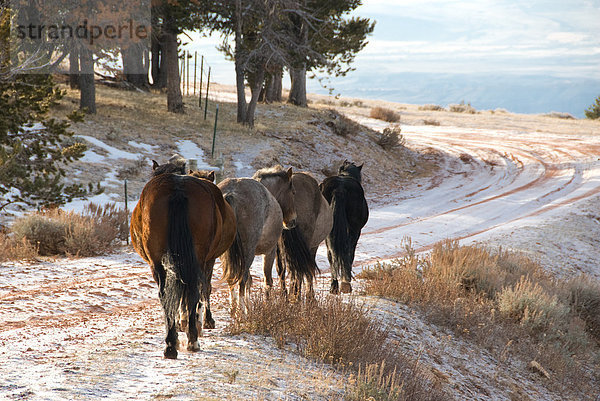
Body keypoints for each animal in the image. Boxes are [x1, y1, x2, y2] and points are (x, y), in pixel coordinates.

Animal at [131, 161, 237, 358]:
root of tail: (177, 189)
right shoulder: (208, 261)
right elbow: (204, 290)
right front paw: (201, 321)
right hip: (198, 260)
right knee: (194, 290)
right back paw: (192, 339)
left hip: (158, 262)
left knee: (166, 294)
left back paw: (170, 345)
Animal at [276, 170, 332, 298]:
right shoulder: (312, 246)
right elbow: (309, 269)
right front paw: (310, 295)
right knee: (298, 269)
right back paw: (296, 296)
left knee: (282, 268)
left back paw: (285, 295)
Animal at [322, 160, 368, 294]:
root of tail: (339, 189)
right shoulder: (356, 231)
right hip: (353, 230)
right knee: (347, 250)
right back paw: (345, 283)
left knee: (331, 253)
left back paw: (334, 286)